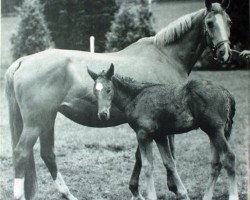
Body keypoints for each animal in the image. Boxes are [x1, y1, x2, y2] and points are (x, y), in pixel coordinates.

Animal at [87, 64, 238, 200]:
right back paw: (207, 196)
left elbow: (147, 165)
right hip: (214, 132)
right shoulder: (160, 135)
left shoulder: (143, 134)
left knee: (228, 157)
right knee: (216, 163)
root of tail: (226, 93)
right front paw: (183, 194)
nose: (103, 115)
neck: (135, 97)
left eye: (108, 90)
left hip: (215, 129)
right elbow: (169, 162)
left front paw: (152, 196)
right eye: (95, 91)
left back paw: (233, 196)